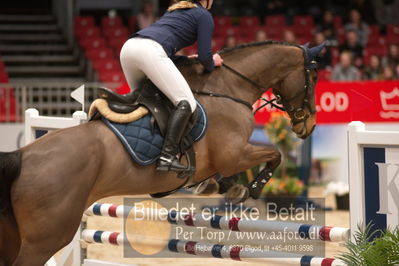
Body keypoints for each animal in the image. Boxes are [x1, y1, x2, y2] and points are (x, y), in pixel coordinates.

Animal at [0, 40, 322, 264]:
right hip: (46, 238)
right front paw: (250, 188)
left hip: (16, 237)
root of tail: (23, 156)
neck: (228, 87)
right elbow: (274, 154)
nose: (308, 125)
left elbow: (226, 175)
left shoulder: (226, 158)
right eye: (314, 80)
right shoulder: (235, 154)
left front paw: (220, 187)